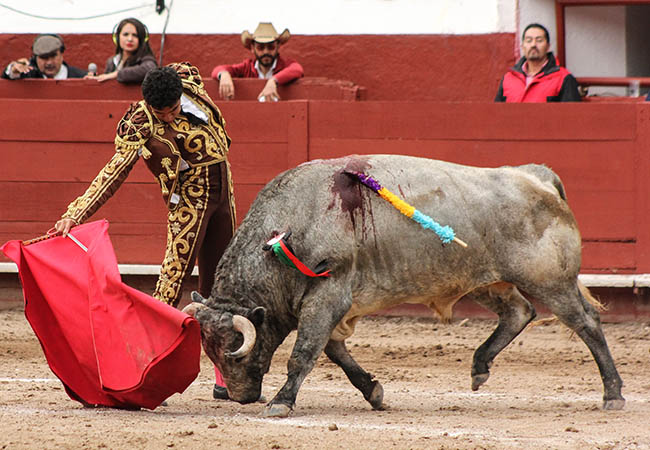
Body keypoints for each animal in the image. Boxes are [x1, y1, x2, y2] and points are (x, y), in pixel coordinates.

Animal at [181, 156, 624, 418]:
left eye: (236, 353)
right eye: (209, 352)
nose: (239, 396)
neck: (288, 229)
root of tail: (536, 177)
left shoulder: (327, 297)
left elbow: (304, 353)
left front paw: (281, 402)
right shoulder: (332, 305)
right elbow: (336, 353)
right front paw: (374, 392)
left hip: (550, 281)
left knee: (585, 323)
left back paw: (613, 394)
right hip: (481, 278)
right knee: (519, 311)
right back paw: (480, 366)